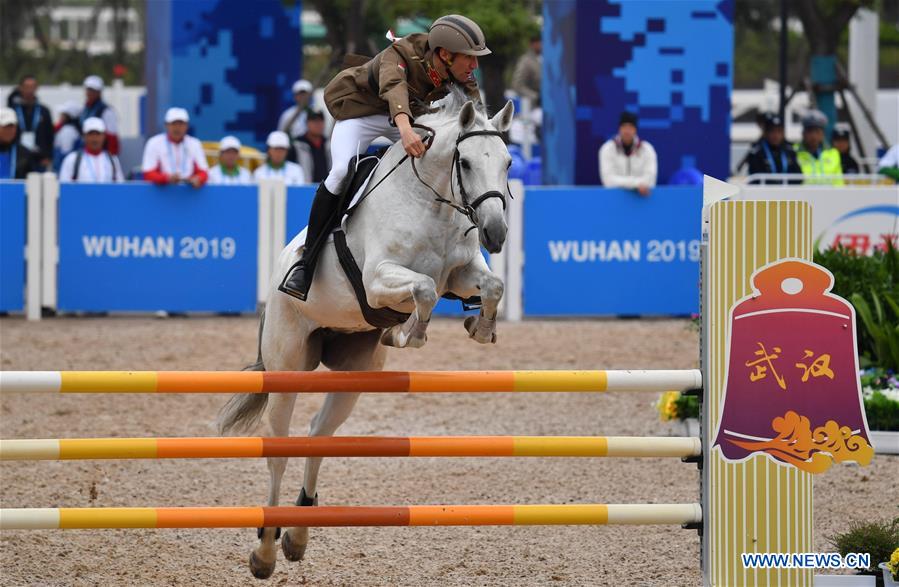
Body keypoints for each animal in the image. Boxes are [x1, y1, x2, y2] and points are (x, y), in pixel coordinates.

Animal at [217, 89, 512, 580]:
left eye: (508, 162)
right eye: (466, 163)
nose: (496, 233)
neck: (431, 203)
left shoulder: (462, 273)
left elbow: (492, 286)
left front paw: (480, 326)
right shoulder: (378, 281)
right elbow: (424, 289)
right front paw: (409, 334)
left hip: (352, 373)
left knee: (319, 435)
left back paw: (298, 535)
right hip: (287, 365)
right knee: (279, 448)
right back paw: (265, 550)